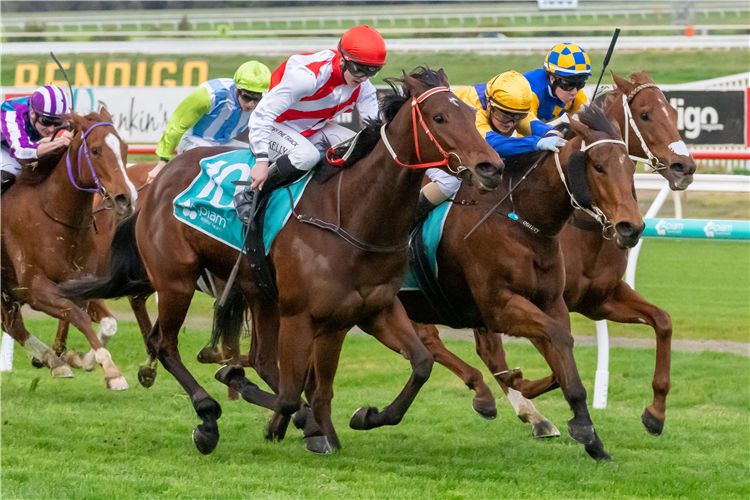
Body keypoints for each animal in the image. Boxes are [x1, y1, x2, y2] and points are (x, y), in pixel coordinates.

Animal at [0, 110, 137, 390]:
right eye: (95, 150)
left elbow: (109, 324)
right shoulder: (35, 289)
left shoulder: (81, 285)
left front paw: (78, 359)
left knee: (12, 326)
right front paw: (112, 371)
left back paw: (55, 362)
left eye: (125, 148)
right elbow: (78, 317)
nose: (125, 199)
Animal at [60, 68, 506, 456]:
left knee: (259, 358)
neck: (352, 215)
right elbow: (292, 394)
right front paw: (252, 394)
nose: (491, 166)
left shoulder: (370, 309)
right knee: (165, 345)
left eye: (471, 114)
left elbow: (420, 365)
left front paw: (365, 416)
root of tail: (153, 182)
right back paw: (208, 416)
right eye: (439, 116)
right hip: (176, 281)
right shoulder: (302, 314)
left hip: (259, 291)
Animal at [408, 70, 696, 438]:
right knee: (435, 338)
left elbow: (662, 321)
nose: (684, 167)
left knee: (484, 348)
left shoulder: (598, 298)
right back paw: (496, 396)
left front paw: (655, 412)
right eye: (645, 115)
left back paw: (526, 410)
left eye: (674, 114)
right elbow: (556, 355)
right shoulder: (526, 301)